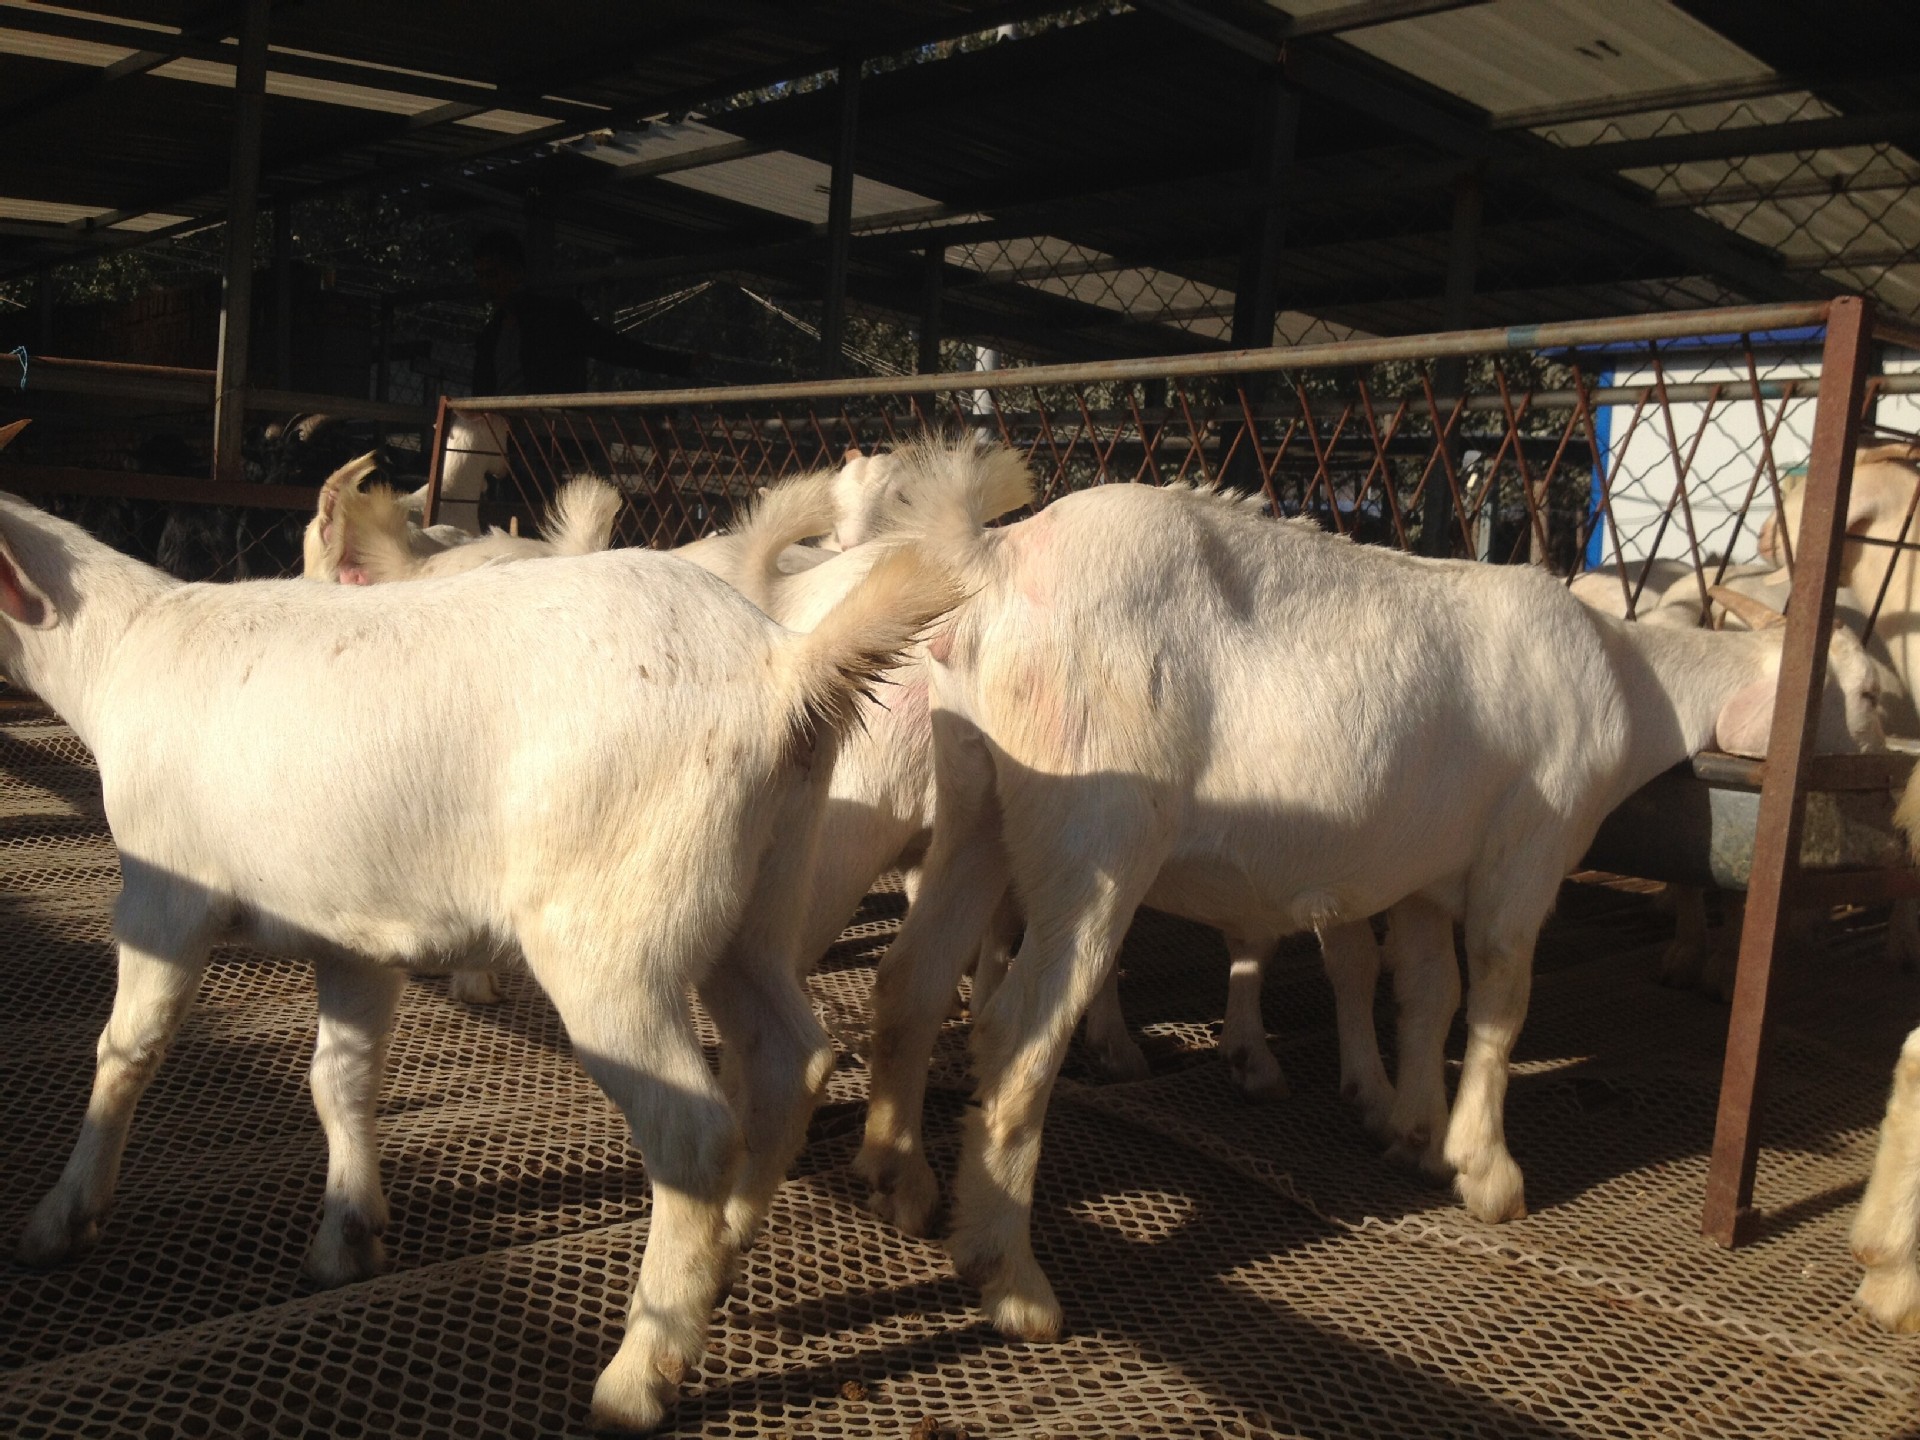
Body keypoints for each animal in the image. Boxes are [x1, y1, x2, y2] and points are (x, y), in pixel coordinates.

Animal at [0, 416, 960, 1436]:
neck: (118, 653)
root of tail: (785, 669)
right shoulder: (352, 929)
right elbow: (340, 1077)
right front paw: (348, 1234)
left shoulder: (164, 889)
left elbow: (126, 1052)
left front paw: (60, 1219)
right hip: (760, 896)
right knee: (789, 1057)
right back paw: (724, 1259)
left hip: (611, 923)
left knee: (693, 1130)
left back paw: (641, 1371)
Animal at [856, 474, 1873, 1344]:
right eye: (1864, 690)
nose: (1868, 785)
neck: (1632, 679)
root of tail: (998, 559)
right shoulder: (1530, 844)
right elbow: (1501, 995)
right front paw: (1486, 1169)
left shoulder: (1424, 875)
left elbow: (1427, 991)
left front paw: (1414, 1131)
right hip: (1094, 824)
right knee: (1020, 1027)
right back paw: (1011, 1279)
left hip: (977, 798)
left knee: (911, 977)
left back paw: (899, 1182)